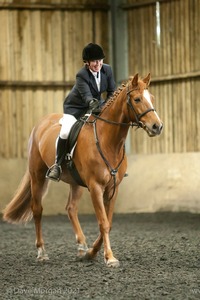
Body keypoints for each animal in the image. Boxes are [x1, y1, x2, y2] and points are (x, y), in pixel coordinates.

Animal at [2, 73, 162, 268]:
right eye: (137, 99)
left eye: (151, 98)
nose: (157, 126)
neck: (108, 141)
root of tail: (40, 124)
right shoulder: (95, 187)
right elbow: (103, 222)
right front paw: (110, 257)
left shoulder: (113, 188)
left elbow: (108, 222)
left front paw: (91, 253)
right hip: (37, 176)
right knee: (37, 210)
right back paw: (41, 252)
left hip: (75, 182)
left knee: (71, 208)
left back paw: (81, 247)